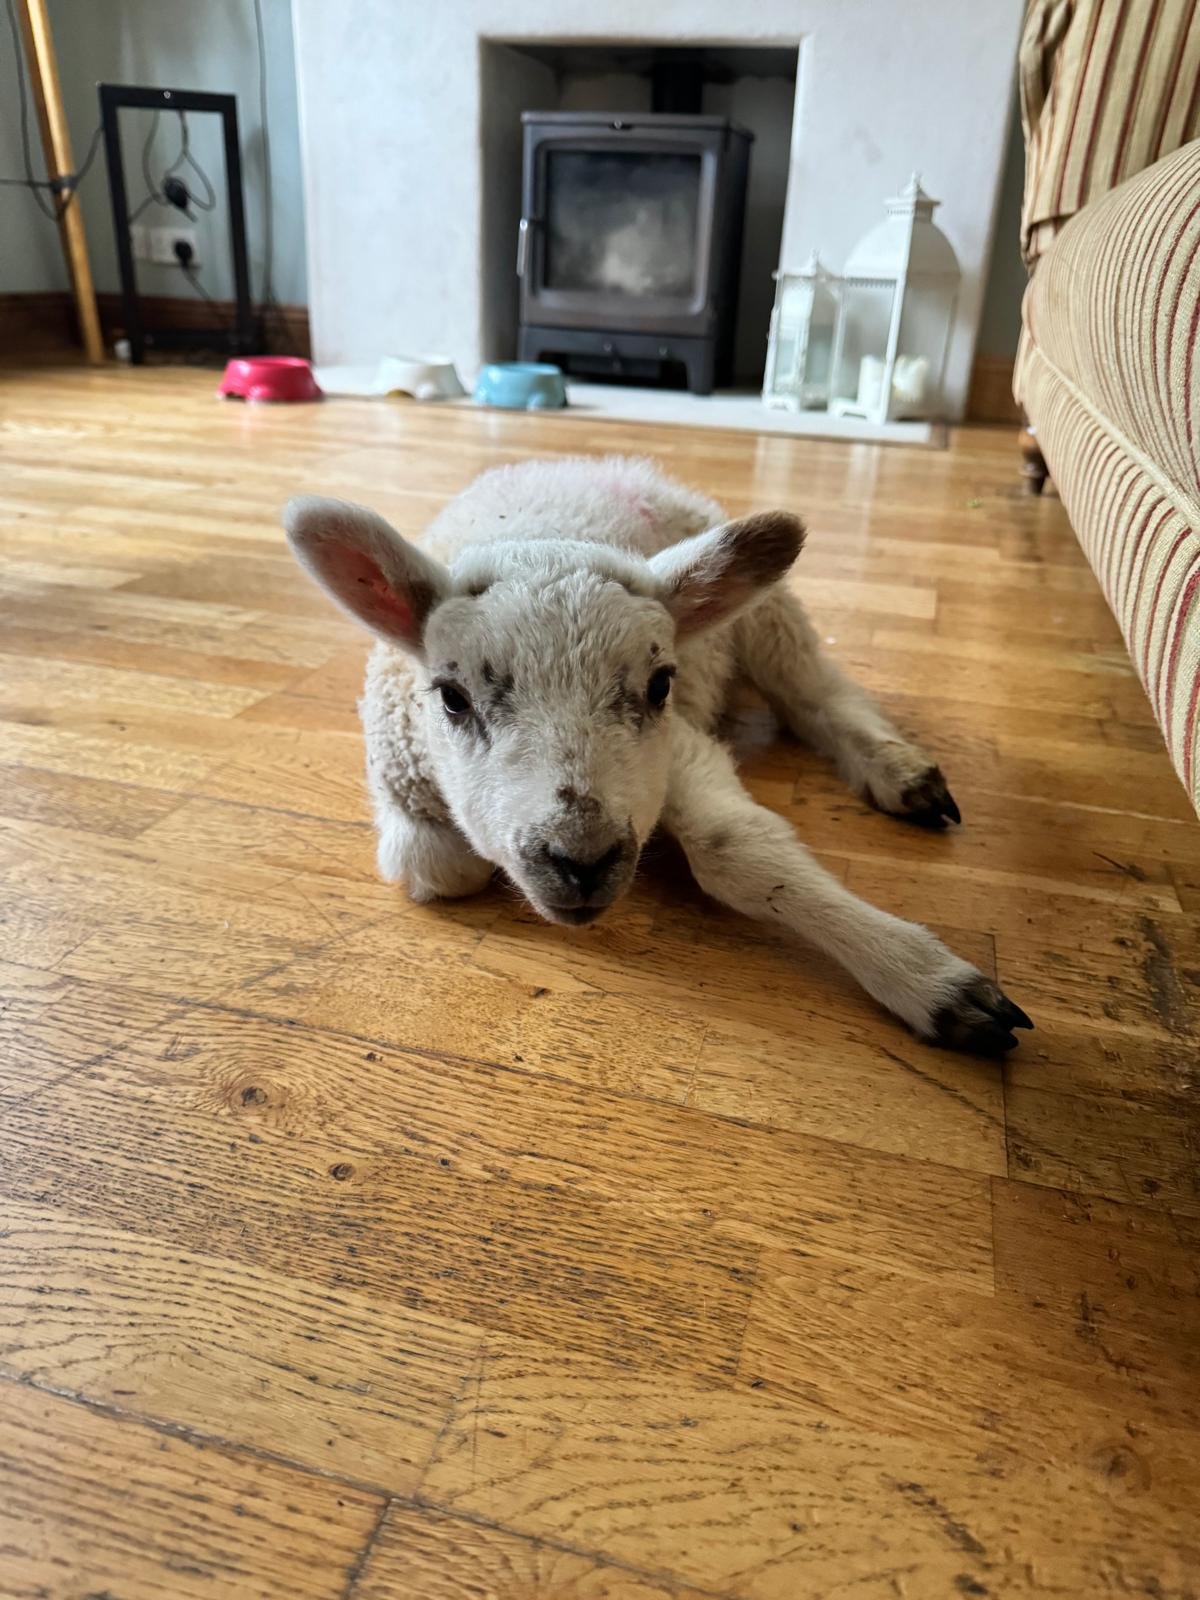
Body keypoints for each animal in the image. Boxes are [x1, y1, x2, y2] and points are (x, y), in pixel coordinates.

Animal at [284, 454, 1032, 1056]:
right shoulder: (410, 802)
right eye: (451, 698)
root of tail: (584, 463)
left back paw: (897, 769)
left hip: (766, 613)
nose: (582, 860)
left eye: (660, 684)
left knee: (815, 690)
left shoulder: (679, 747)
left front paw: (924, 979)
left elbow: (737, 851)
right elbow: (443, 865)